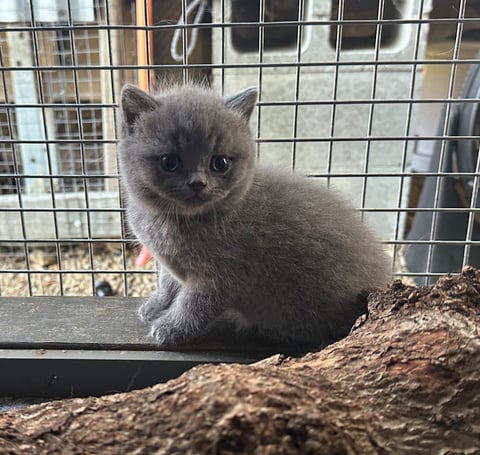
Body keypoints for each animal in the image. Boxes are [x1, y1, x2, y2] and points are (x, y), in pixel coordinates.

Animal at [118, 83, 392, 350]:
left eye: (220, 163)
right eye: (170, 162)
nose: (198, 183)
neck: (177, 221)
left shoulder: (223, 277)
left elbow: (194, 306)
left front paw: (171, 328)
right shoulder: (170, 264)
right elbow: (167, 282)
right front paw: (156, 305)